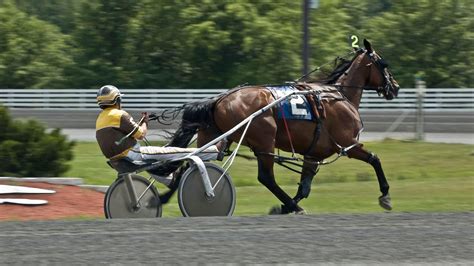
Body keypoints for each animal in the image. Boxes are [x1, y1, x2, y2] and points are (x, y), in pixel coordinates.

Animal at [167, 39, 400, 214]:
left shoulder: (313, 154)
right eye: (384, 64)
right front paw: (386, 195)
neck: (338, 96)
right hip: (264, 141)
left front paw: (284, 207)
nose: (395, 87)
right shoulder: (348, 145)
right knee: (266, 178)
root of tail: (220, 99)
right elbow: (375, 159)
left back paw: (163, 197)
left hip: (214, 137)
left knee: (190, 163)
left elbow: (305, 188)